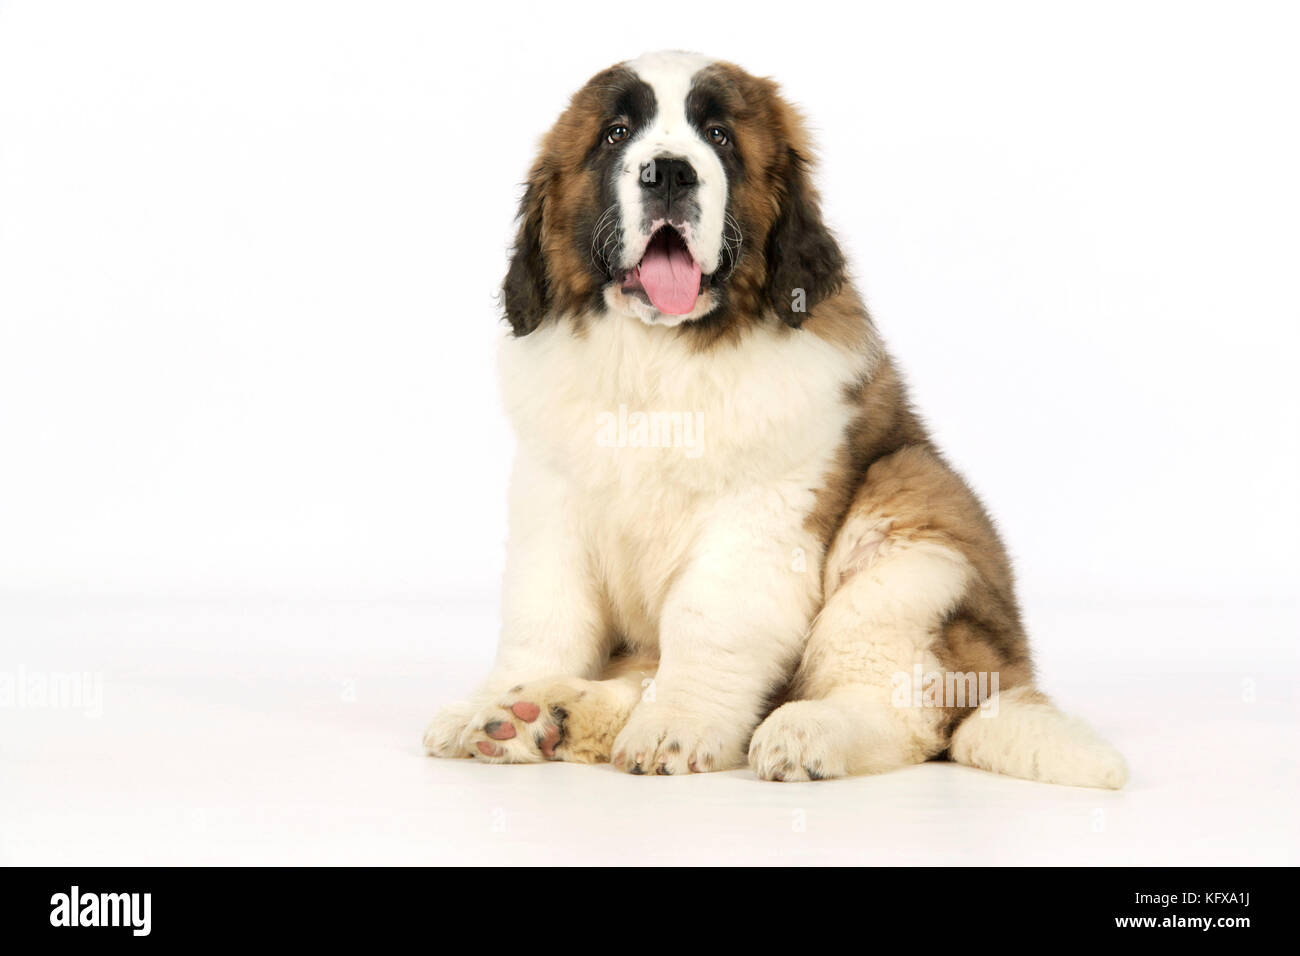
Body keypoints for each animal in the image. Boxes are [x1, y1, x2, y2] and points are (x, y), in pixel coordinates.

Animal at [421, 48, 1123, 790]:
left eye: (720, 137)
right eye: (615, 134)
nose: (670, 171)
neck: (660, 356)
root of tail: (1003, 676)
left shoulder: (762, 514)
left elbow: (705, 621)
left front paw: (677, 726)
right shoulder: (552, 499)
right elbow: (545, 617)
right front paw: (497, 701)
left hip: (914, 518)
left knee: (908, 712)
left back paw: (806, 731)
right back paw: (540, 716)